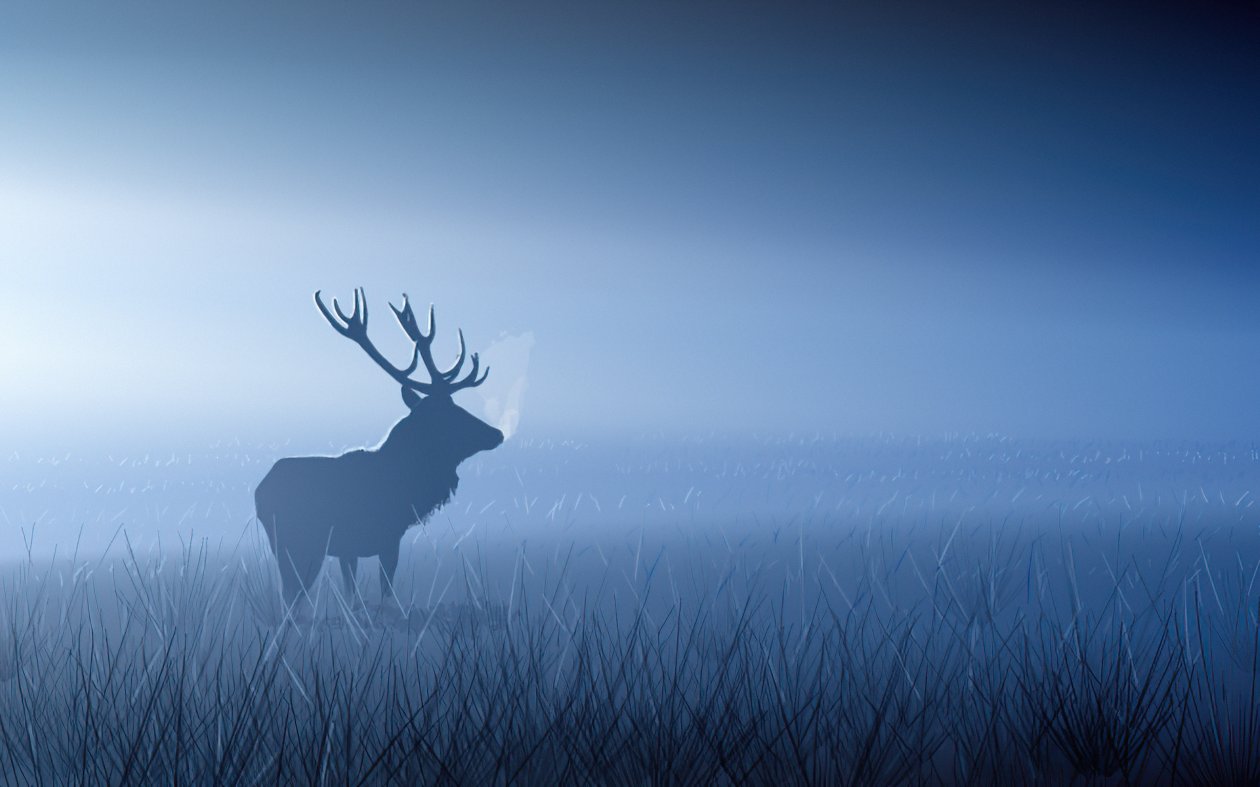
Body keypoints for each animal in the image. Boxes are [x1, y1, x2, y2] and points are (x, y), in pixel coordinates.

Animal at [255, 288, 504, 606]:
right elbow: (385, 592)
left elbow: (352, 592)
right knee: (292, 596)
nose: (496, 433)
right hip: (300, 542)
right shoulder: (388, 537)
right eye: (450, 413)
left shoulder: (348, 548)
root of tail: (260, 491)